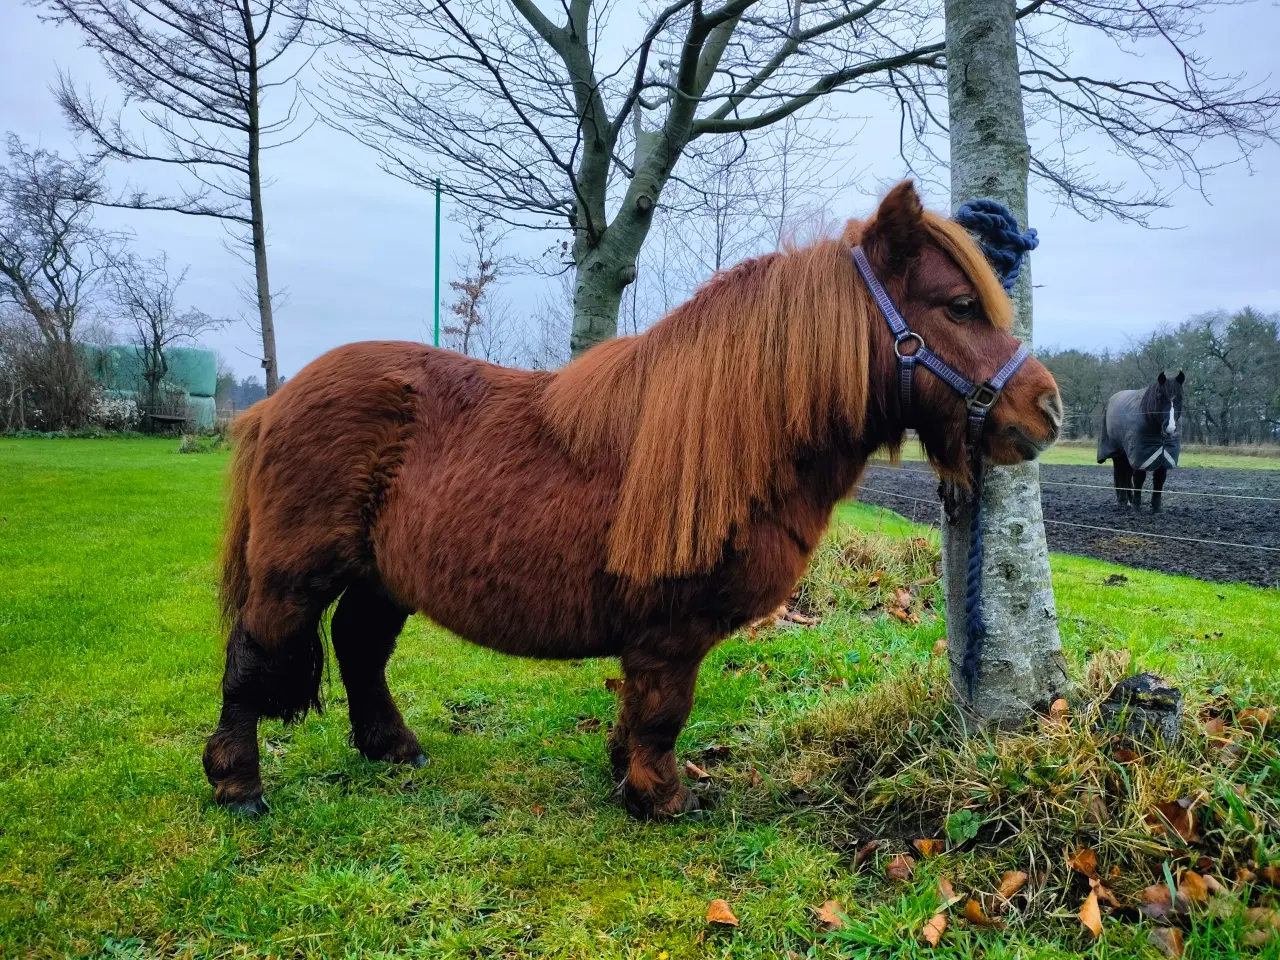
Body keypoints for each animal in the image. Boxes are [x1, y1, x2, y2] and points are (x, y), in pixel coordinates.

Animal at [202, 184, 1059, 824]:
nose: (1046, 410)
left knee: (359, 645)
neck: (734, 437)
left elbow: (638, 711)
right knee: (253, 657)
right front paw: (661, 797)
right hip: (293, 574)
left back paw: (393, 747)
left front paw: (626, 777)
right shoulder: (670, 632)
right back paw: (238, 783)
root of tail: (276, 402)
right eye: (958, 306)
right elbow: (662, 709)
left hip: (382, 576)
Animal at [1095, 371, 1182, 514]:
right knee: (1121, 474)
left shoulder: (1164, 456)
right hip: (1119, 453)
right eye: (1160, 396)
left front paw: (1156, 507)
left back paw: (1128, 501)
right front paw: (1136, 506)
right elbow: (1139, 479)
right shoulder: (1140, 457)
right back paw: (1123, 501)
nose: (1170, 428)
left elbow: (1159, 480)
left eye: (1181, 397)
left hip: (1127, 455)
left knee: (1126, 475)